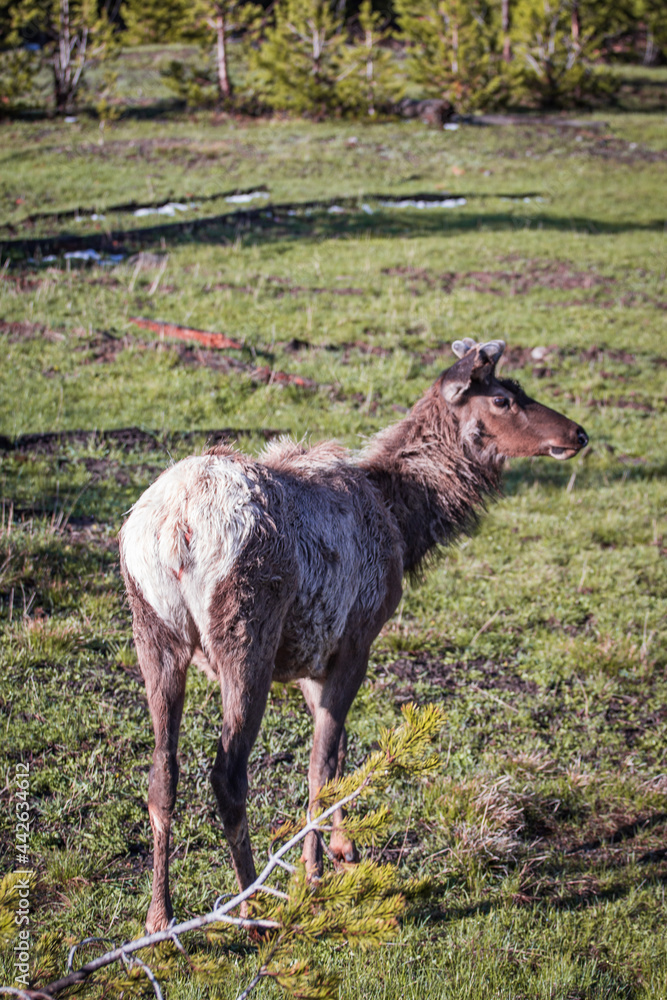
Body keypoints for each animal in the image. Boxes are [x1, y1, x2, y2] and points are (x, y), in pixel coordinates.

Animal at [119, 337, 588, 933]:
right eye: (504, 398)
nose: (578, 433)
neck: (403, 525)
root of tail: (175, 528)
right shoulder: (356, 638)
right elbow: (322, 765)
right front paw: (316, 874)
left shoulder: (308, 652)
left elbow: (338, 751)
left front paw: (344, 849)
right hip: (247, 631)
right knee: (227, 773)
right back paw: (253, 907)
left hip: (152, 630)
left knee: (162, 772)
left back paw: (159, 918)